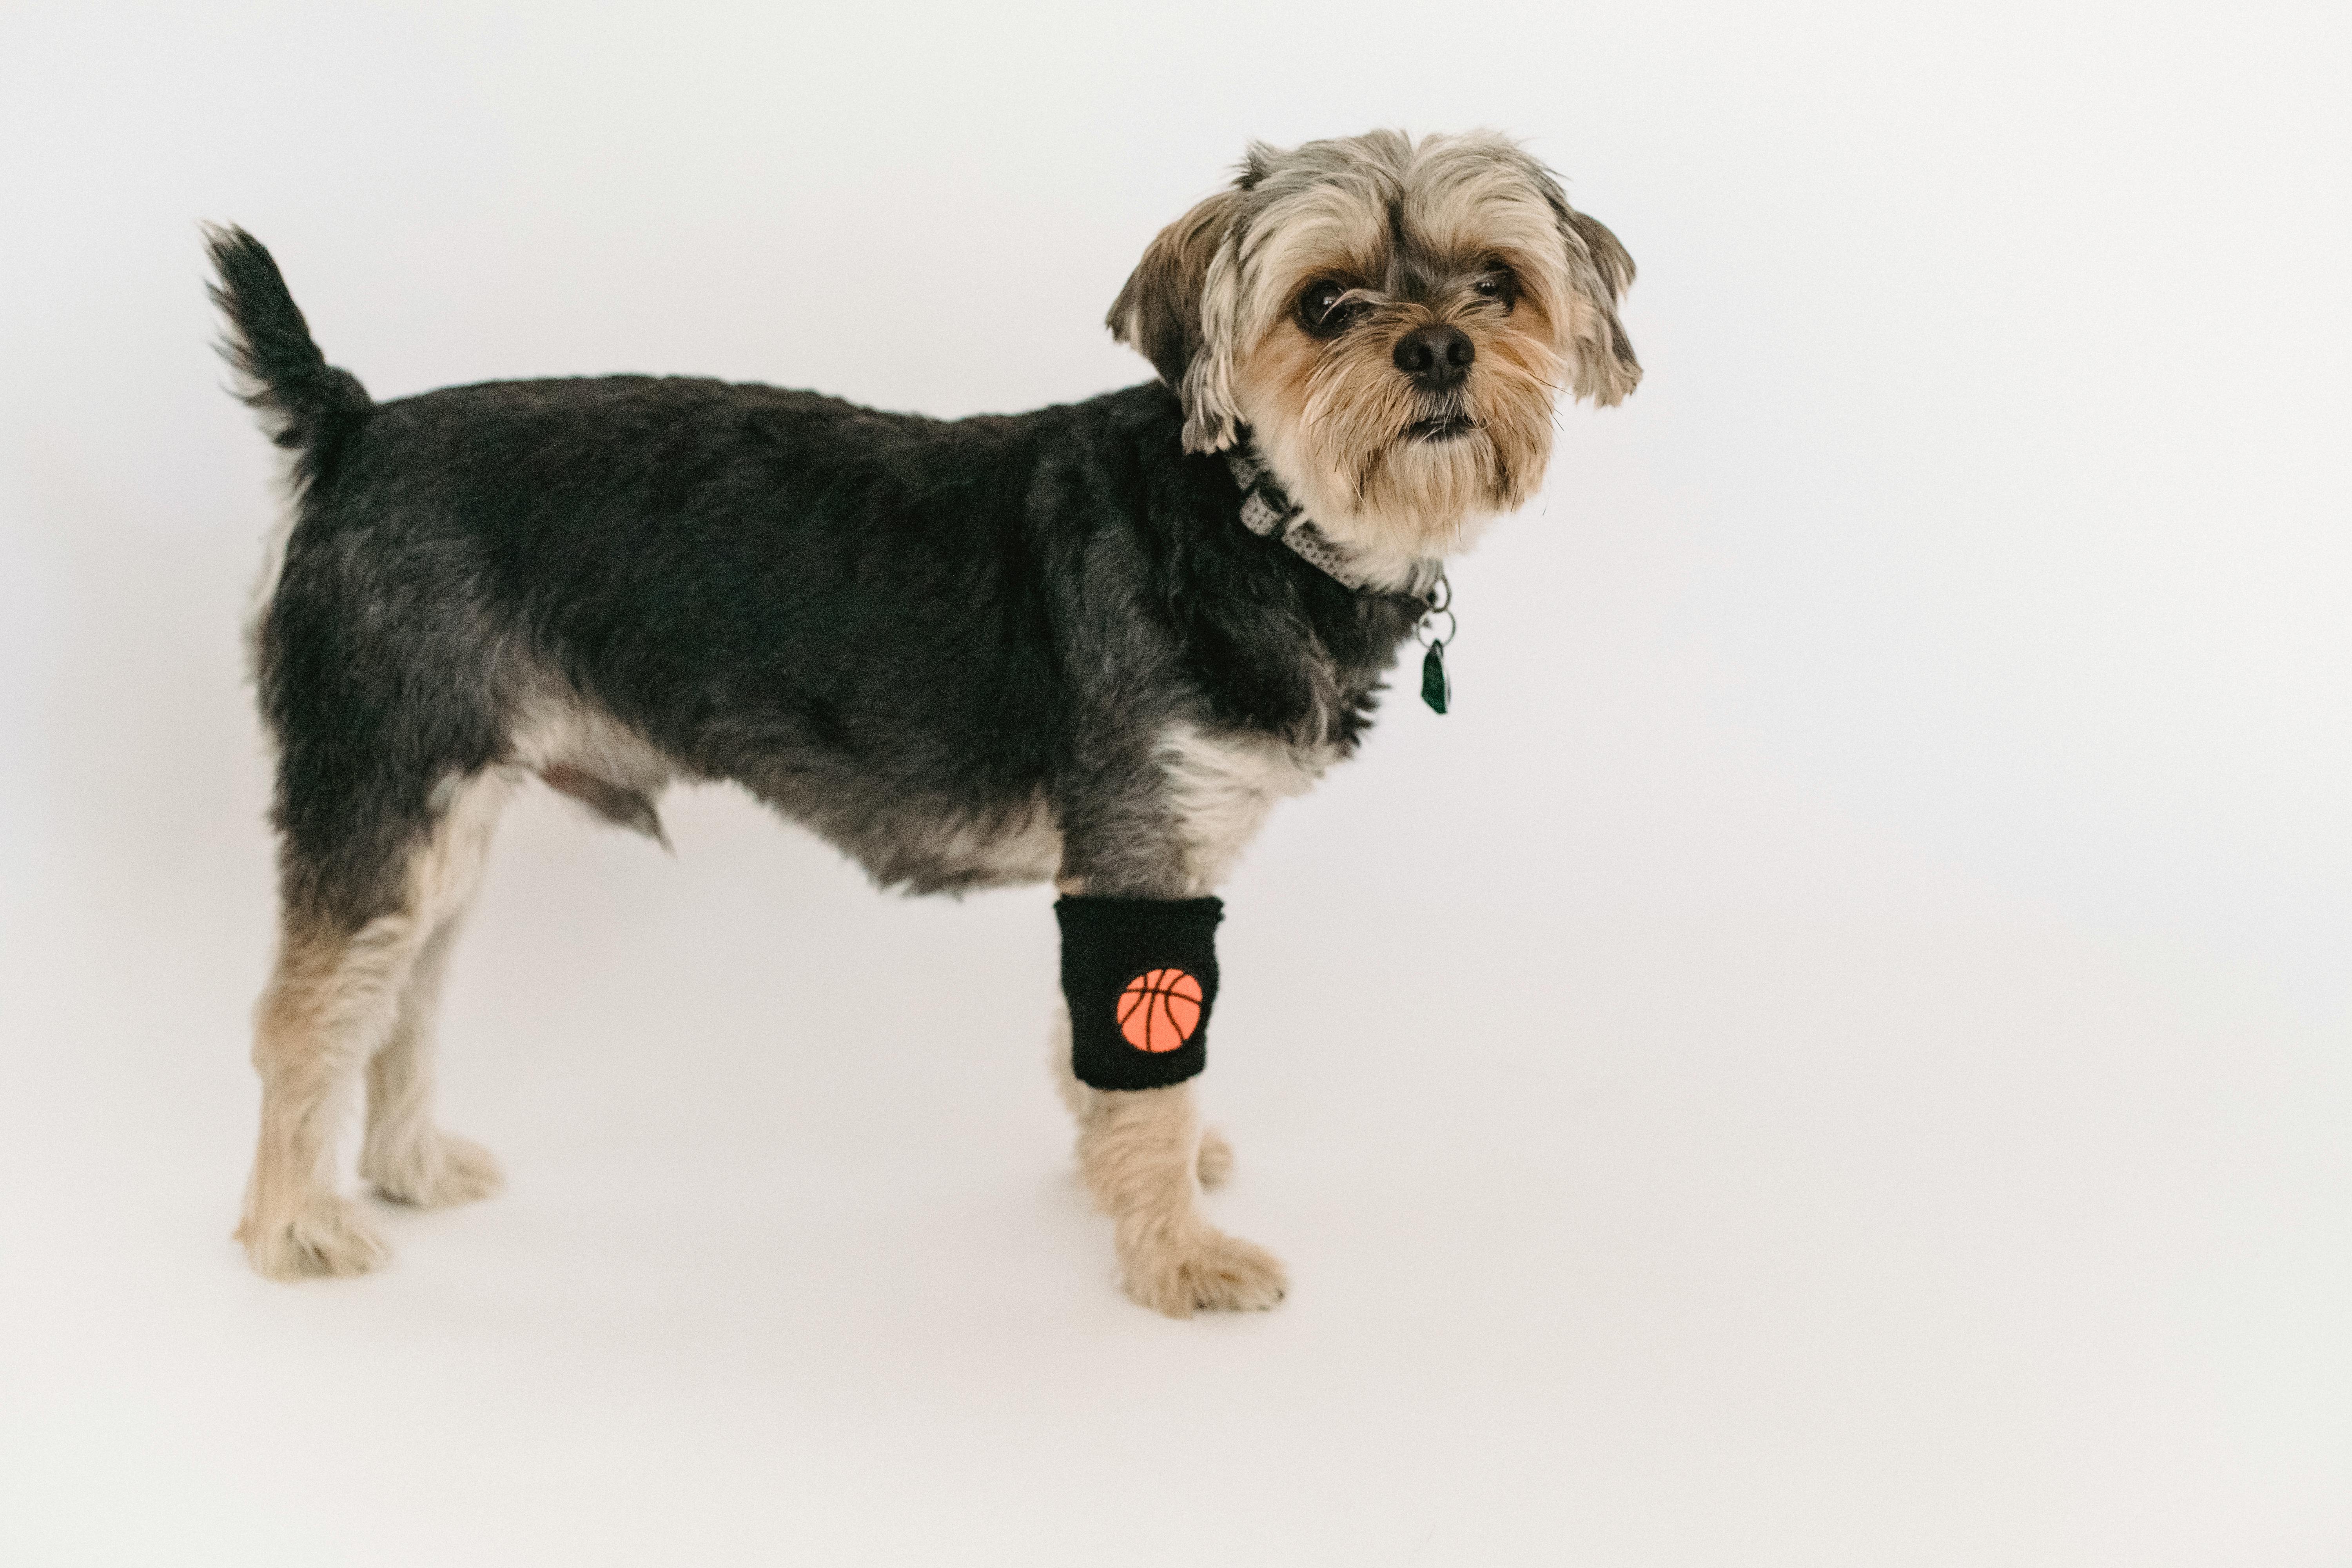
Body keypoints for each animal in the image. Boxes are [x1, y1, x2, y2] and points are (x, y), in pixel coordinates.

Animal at [212, 129, 1637, 1316]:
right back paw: (293, 1228)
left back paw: (406, 1169)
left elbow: (1101, 1050)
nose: (1440, 350)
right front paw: (1176, 1254)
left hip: (443, 816)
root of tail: (352, 426)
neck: (1245, 514)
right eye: (1326, 303)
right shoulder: (1145, 857)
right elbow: (1152, 1079)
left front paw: (1127, 1181)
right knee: (304, 1017)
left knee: (400, 1003)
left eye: (1500, 285)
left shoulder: (1120, 877)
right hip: (383, 786)